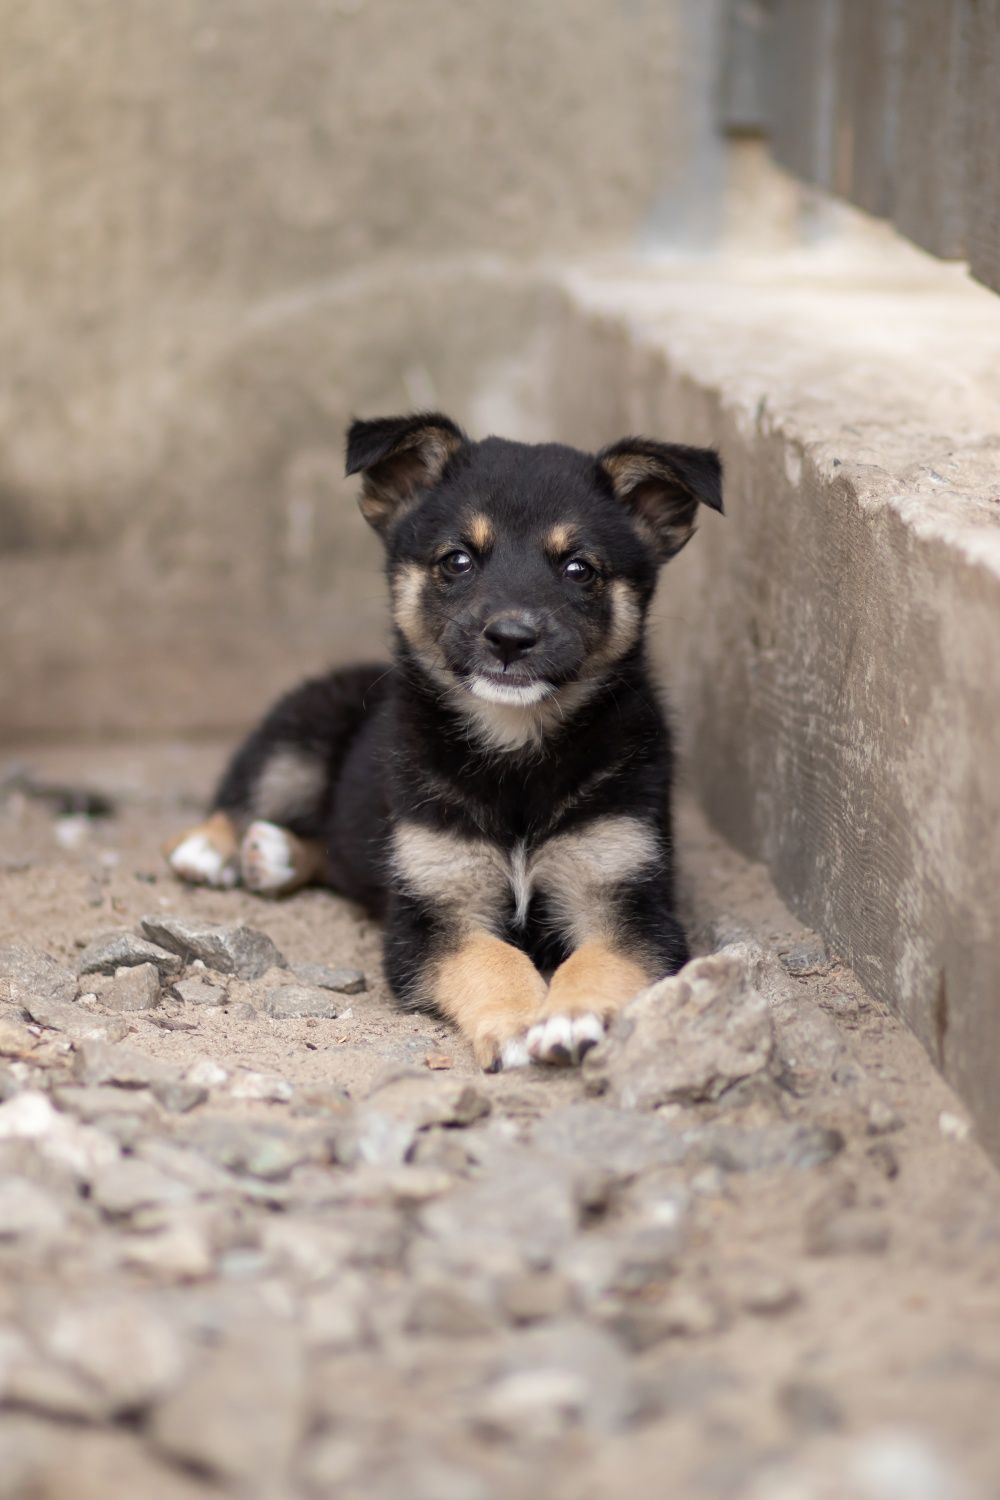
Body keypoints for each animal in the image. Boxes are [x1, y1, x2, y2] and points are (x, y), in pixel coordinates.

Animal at [167, 411, 722, 1068]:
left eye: (579, 568)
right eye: (457, 560)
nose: (510, 638)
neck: (516, 756)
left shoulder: (629, 899)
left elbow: (599, 959)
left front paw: (571, 1016)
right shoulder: (432, 910)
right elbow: (492, 957)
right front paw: (517, 1023)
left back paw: (275, 856)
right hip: (301, 735)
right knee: (251, 795)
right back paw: (213, 848)